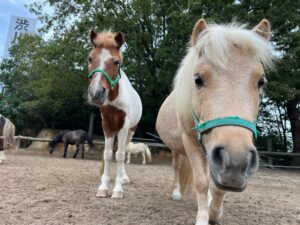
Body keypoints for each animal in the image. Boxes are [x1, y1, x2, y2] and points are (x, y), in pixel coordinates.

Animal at [86, 30, 143, 199]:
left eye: (117, 62)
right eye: (90, 58)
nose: (96, 93)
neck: (113, 100)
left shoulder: (123, 126)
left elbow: (120, 155)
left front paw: (118, 189)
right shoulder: (107, 125)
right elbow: (107, 153)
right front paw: (103, 187)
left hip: (130, 131)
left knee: (124, 151)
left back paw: (124, 178)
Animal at [156, 18, 276, 224]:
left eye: (261, 81)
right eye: (198, 79)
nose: (237, 161)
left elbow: (217, 185)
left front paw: (214, 212)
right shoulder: (190, 142)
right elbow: (202, 182)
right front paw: (203, 217)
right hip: (177, 150)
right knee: (177, 169)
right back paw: (176, 193)